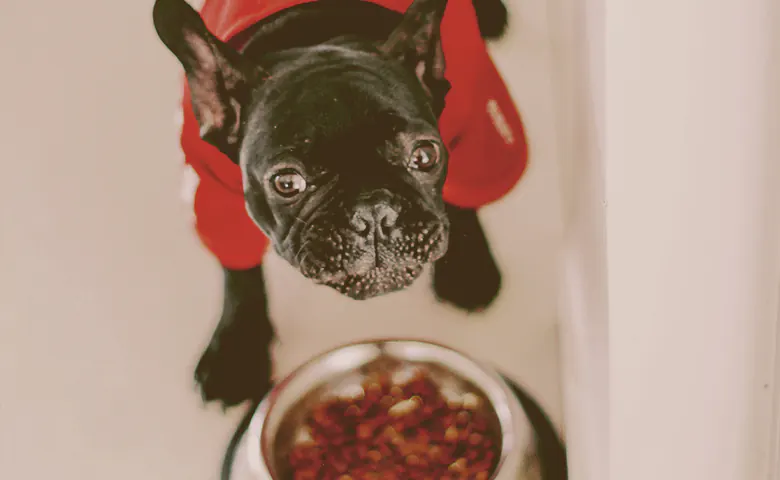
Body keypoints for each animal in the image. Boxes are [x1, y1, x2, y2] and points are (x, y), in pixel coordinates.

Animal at [152, 0, 516, 406]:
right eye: (287, 182)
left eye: (425, 156)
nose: (374, 210)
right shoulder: (212, 188)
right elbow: (239, 272)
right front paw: (237, 350)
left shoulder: (477, 127)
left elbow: (466, 197)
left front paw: (469, 270)